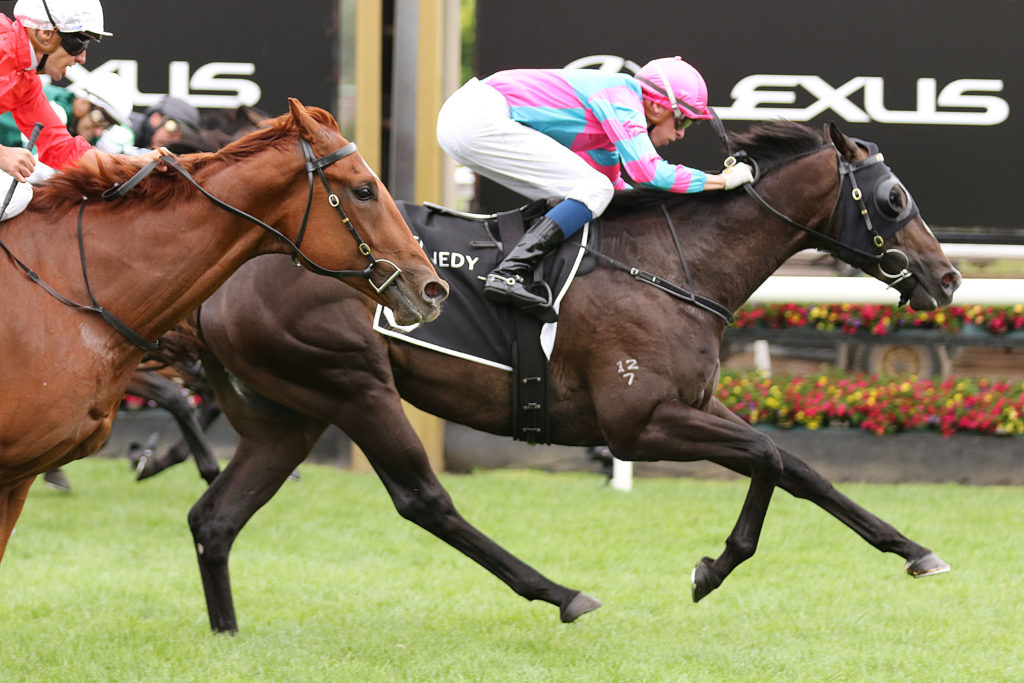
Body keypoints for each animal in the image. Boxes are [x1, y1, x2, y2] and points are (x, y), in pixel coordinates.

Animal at [187, 120, 960, 632]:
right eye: (894, 198)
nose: (948, 277)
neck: (674, 263)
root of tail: (222, 279)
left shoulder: (692, 402)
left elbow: (799, 467)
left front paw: (914, 550)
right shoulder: (638, 423)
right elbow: (770, 456)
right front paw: (713, 568)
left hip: (289, 410)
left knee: (214, 518)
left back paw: (227, 634)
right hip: (352, 382)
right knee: (424, 500)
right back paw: (562, 594)